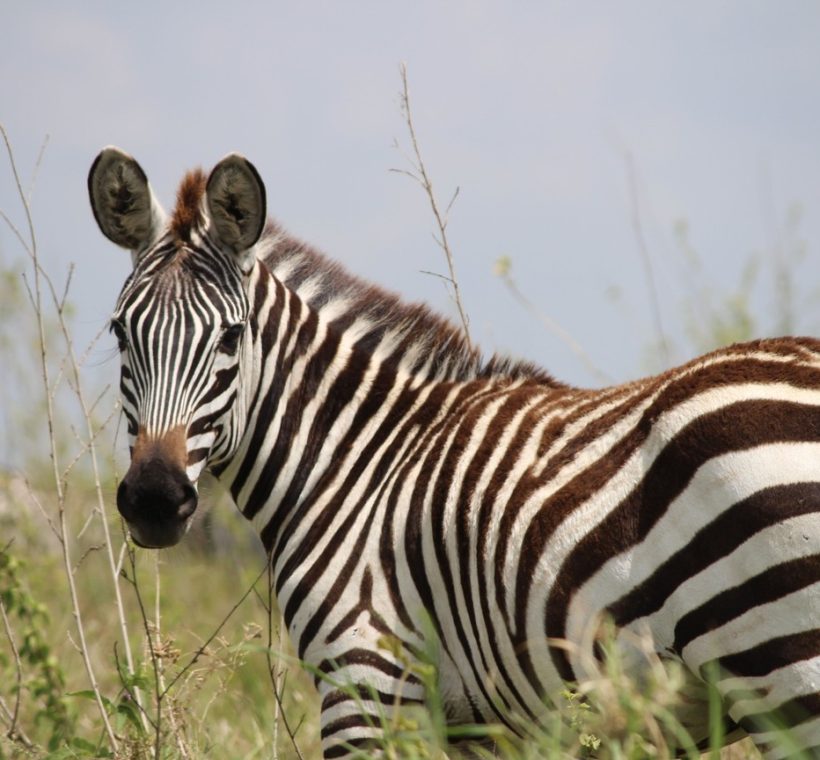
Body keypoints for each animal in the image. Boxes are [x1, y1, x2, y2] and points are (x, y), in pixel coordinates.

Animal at [88, 147, 820, 758]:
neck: (361, 466)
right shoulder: (479, 726)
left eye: (231, 338)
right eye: (120, 333)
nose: (153, 500)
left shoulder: (365, 681)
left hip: (784, 665)